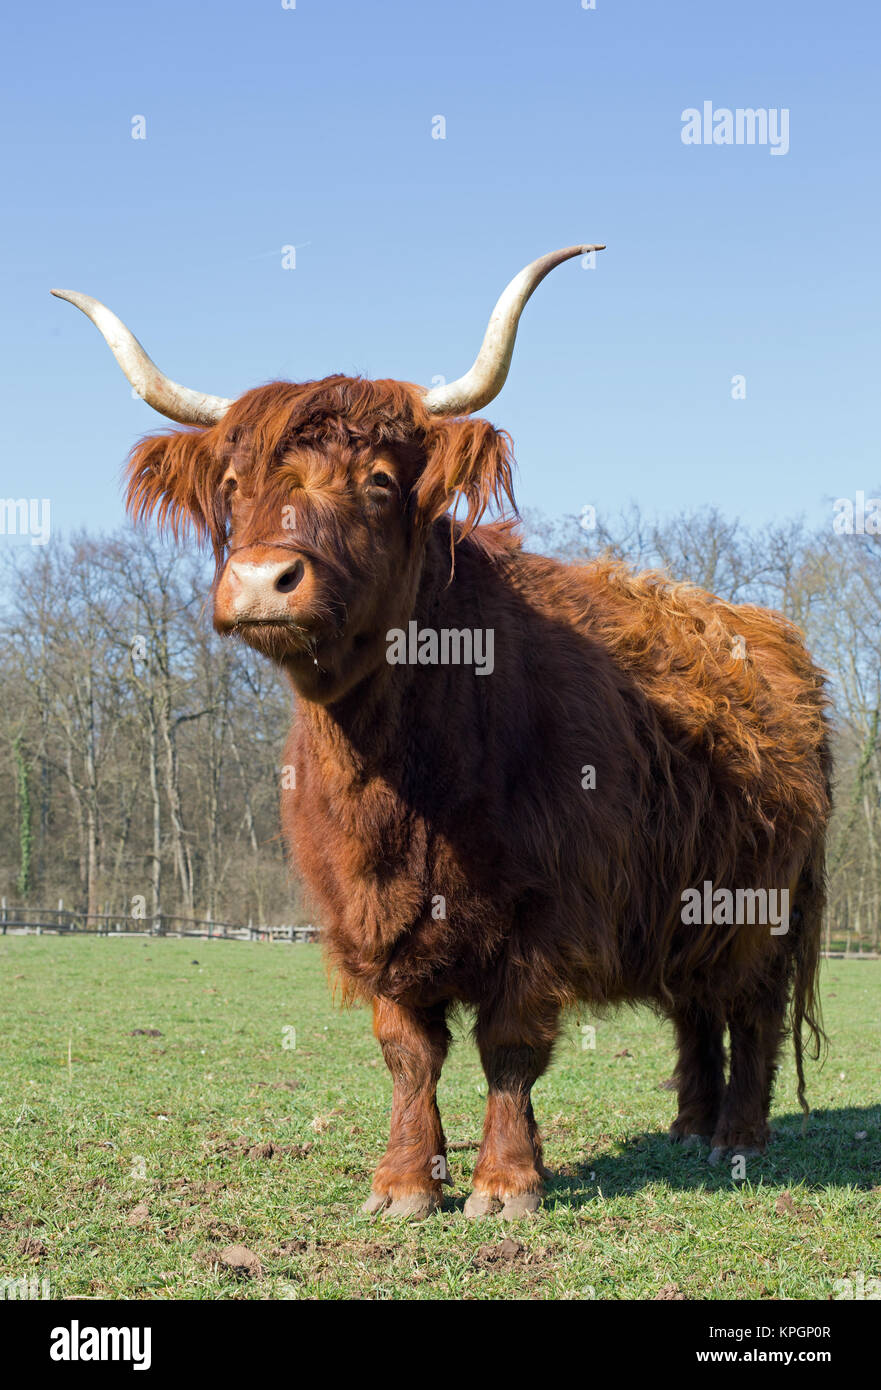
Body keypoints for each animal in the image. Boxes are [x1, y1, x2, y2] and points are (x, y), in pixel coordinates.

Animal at [53, 246, 831, 1219]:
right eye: (233, 489)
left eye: (380, 482)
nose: (264, 579)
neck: (399, 775)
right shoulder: (362, 913)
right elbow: (407, 1050)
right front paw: (403, 1183)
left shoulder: (547, 910)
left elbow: (511, 1045)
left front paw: (506, 1183)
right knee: (693, 1010)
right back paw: (690, 1127)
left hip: (764, 914)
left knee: (749, 1013)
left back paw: (738, 1138)